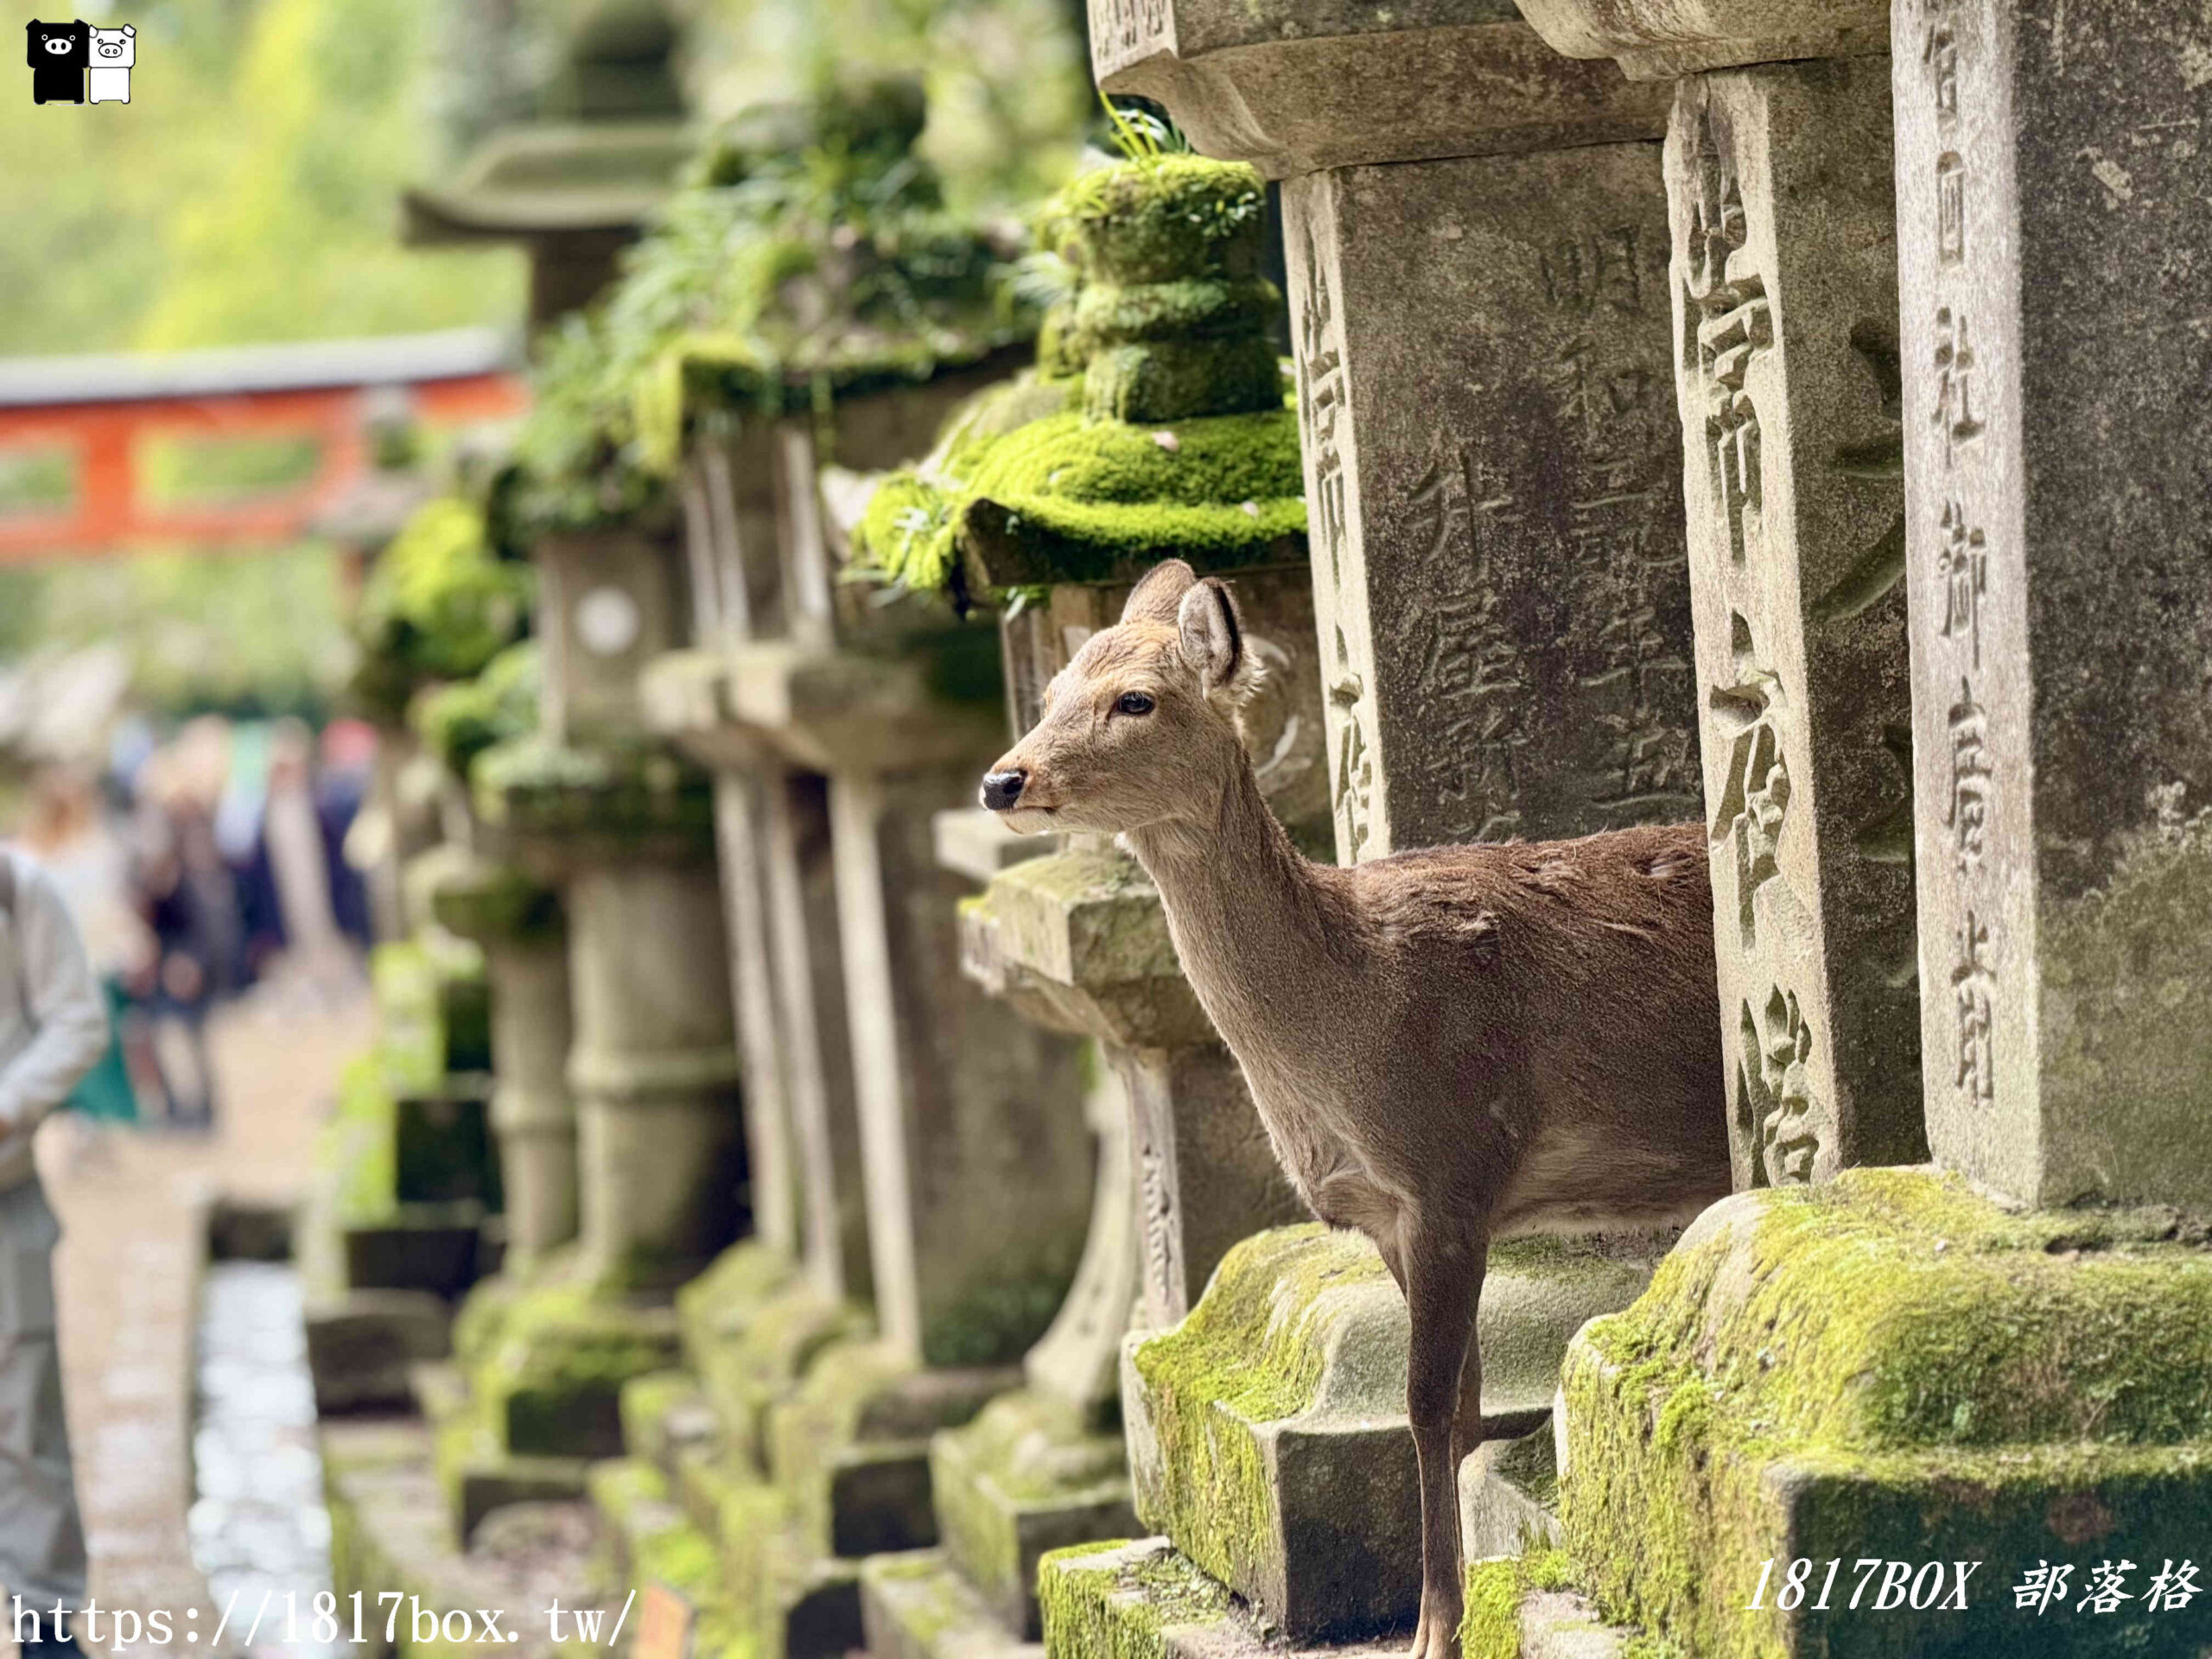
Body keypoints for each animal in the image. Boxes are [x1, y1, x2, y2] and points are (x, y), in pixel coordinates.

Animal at [982, 566, 1725, 1659]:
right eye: (1049, 692)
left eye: (1135, 700)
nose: (1004, 779)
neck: (1347, 1031)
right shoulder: (1384, 1214)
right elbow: (1461, 1403)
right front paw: (1453, 1611)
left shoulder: (1452, 1167)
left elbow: (1423, 1406)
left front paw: (1434, 1629)